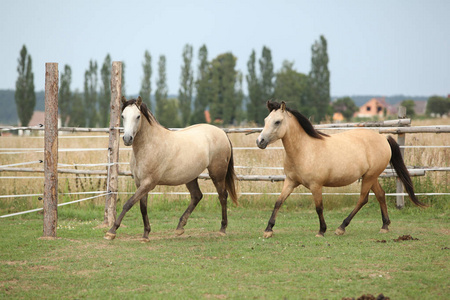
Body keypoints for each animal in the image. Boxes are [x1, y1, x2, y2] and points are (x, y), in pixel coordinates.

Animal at [104, 96, 239, 241]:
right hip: (190, 176)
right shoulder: (140, 183)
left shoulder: (148, 183)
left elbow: (128, 203)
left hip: (217, 173)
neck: (149, 145)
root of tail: (222, 133)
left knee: (222, 196)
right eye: (123, 116)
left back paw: (222, 229)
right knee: (197, 196)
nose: (127, 139)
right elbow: (142, 207)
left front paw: (111, 232)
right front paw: (146, 234)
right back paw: (180, 228)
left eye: (138, 116)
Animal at [256, 101, 426, 237]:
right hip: (371, 176)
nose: (260, 141)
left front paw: (322, 230)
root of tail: (383, 138)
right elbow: (278, 202)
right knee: (380, 195)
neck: (304, 150)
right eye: (265, 120)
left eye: (277, 122)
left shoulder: (316, 186)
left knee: (363, 199)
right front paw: (268, 230)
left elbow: (319, 207)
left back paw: (341, 227)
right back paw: (384, 226)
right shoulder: (290, 182)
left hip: (370, 177)